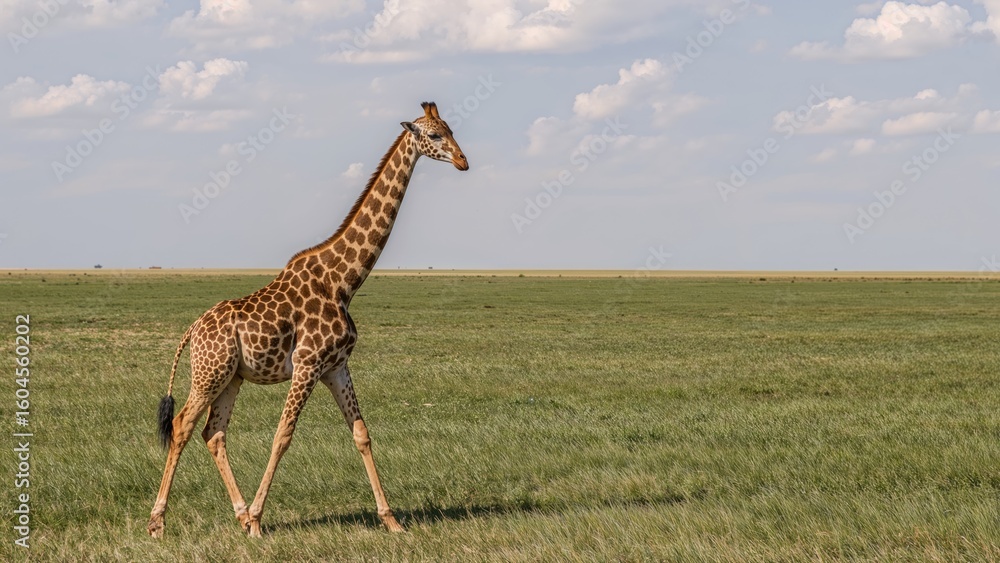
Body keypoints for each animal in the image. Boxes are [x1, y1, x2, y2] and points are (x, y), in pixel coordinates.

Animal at [147, 102, 468, 538]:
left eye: (451, 129)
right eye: (434, 135)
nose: (463, 160)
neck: (344, 281)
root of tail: (192, 330)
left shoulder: (336, 366)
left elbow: (361, 433)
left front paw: (391, 520)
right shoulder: (307, 364)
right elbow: (282, 435)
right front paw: (259, 523)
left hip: (231, 378)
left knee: (213, 433)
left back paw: (239, 512)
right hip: (209, 373)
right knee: (181, 426)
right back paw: (159, 522)